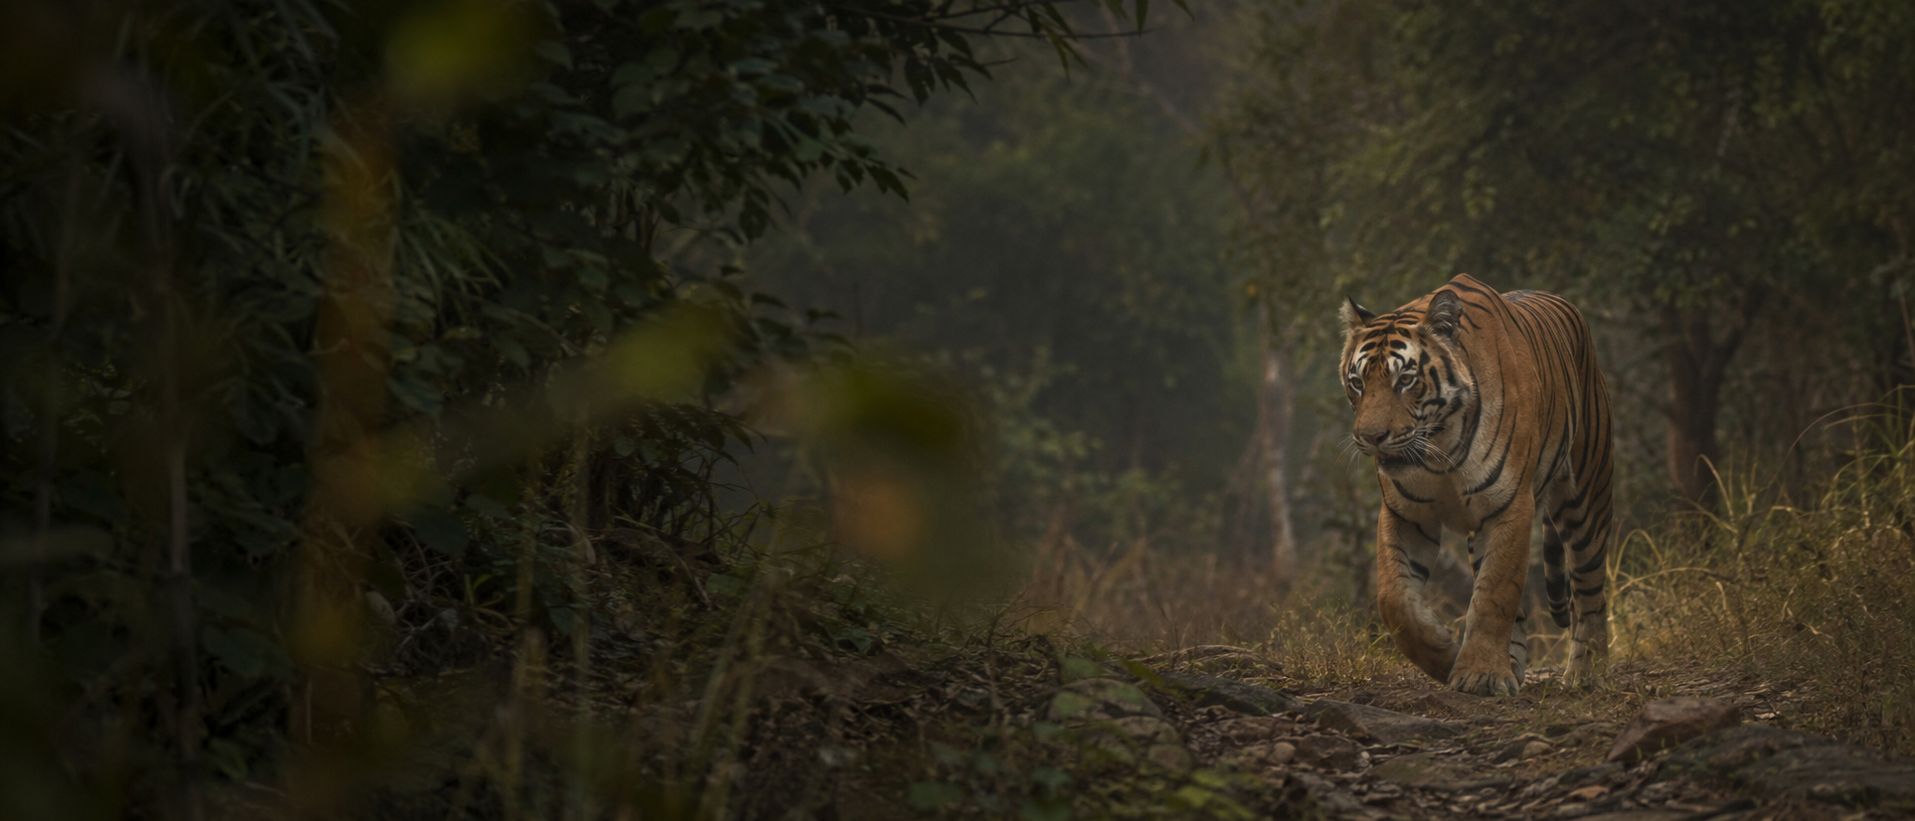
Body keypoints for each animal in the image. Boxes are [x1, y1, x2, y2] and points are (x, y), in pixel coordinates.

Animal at [1339, 274, 1613, 695]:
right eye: (1357, 382)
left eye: (1406, 380)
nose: (1371, 437)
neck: (1439, 447)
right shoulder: (1405, 514)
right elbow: (1394, 598)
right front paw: (1445, 654)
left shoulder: (1509, 507)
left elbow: (1493, 595)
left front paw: (1480, 673)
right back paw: (1512, 664)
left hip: (1586, 496)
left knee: (1589, 589)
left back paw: (1587, 673)